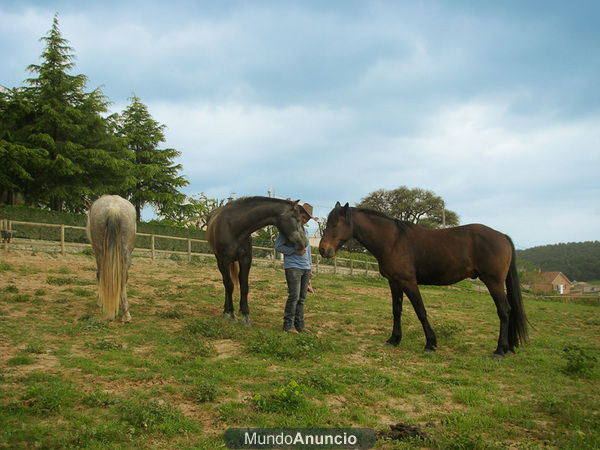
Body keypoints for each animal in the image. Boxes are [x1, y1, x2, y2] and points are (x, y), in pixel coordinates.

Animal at [207, 197, 310, 326]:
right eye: (297, 219)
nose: (305, 243)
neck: (234, 227)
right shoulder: (225, 260)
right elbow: (230, 285)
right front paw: (231, 314)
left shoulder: (246, 260)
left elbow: (244, 286)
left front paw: (245, 315)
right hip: (219, 261)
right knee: (226, 283)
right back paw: (226, 310)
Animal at [322, 202, 528, 356]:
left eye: (335, 224)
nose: (323, 250)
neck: (393, 240)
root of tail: (502, 236)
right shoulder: (394, 282)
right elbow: (396, 311)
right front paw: (394, 340)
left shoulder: (408, 282)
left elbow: (420, 311)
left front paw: (430, 344)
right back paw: (508, 347)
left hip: (493, 282)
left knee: (504, 311)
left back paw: (500, 350)